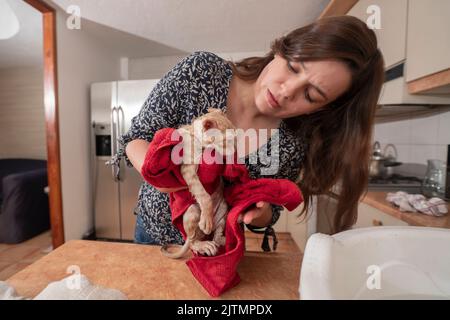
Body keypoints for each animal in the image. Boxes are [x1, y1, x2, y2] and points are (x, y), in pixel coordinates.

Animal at [163, 107, 239, 258]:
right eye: (227, 141)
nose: (237, 154)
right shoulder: (188, 170)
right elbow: (204, 195)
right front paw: (206, 220)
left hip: (223, 209)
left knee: (216, 235)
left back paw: (223, 239)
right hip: (192, 211)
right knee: (193, 242)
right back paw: (204, 244)